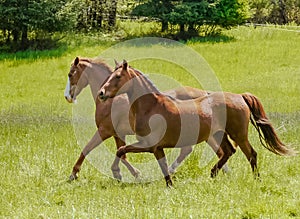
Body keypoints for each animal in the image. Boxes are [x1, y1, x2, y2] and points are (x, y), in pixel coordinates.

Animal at [65, 57, 230, 181]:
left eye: (71, 74)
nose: (67, 96)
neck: (111, 103)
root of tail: (205, 94)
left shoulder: (104, 131)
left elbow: (87, 149)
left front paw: (74, 174)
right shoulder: (118, 134)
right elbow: (122, 153)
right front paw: (122, 173)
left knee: (203, 150)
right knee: (214, 150)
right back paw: (224, 171)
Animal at [99, 60, 296, 186]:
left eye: (117, 76)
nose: (101, 93)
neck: (151, 107)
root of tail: (240, 97)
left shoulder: (149, 145)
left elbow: (121, 150)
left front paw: (117, 173)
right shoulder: (156, 148)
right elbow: (162, 167)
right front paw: (170, 185)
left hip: (239, 135)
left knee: (251, 154)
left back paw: (257, 180)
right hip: (219, 134)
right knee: (228, 152)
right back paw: (212, 175)